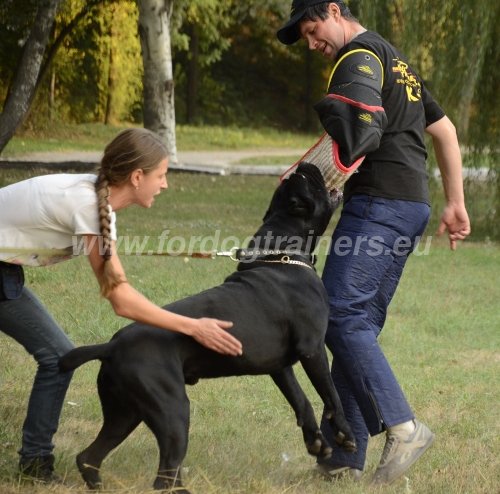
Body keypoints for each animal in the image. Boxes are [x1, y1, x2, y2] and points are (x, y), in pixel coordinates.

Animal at [59, 161, 356, 490]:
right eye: (307, 181)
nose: (303, 165)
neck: (280, 255)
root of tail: (110, 346)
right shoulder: (312, 348)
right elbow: (331, 394)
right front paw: (344, 434)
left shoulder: (279, 366)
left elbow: (301, 400)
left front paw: (316, 442)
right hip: (173, 412)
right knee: (164, 474)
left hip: (124, 414)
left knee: (90, 456)